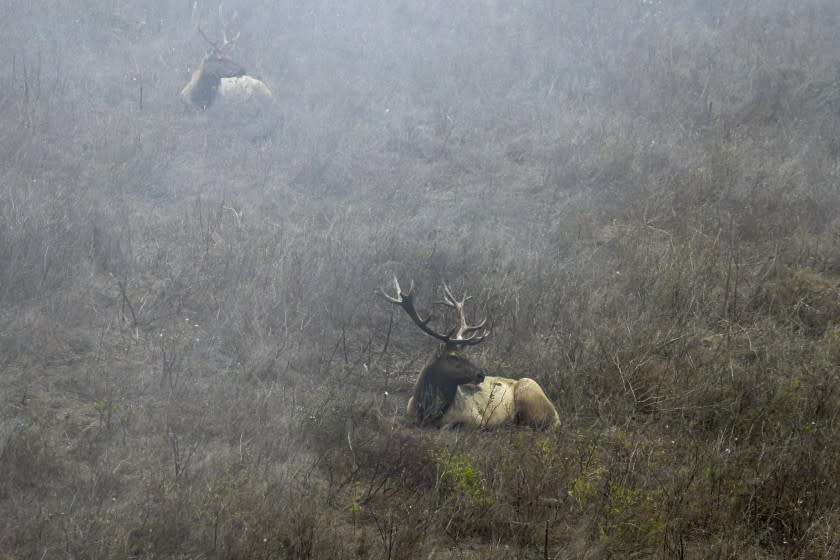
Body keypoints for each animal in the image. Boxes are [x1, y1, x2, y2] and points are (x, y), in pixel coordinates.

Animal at [384, 278, 560, 430]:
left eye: (467, 355)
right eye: (453, 356)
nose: (480, 374)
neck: (426, 410)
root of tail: (557, 416)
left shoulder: (476, 419)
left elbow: (448, 427)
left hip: (529, 391)